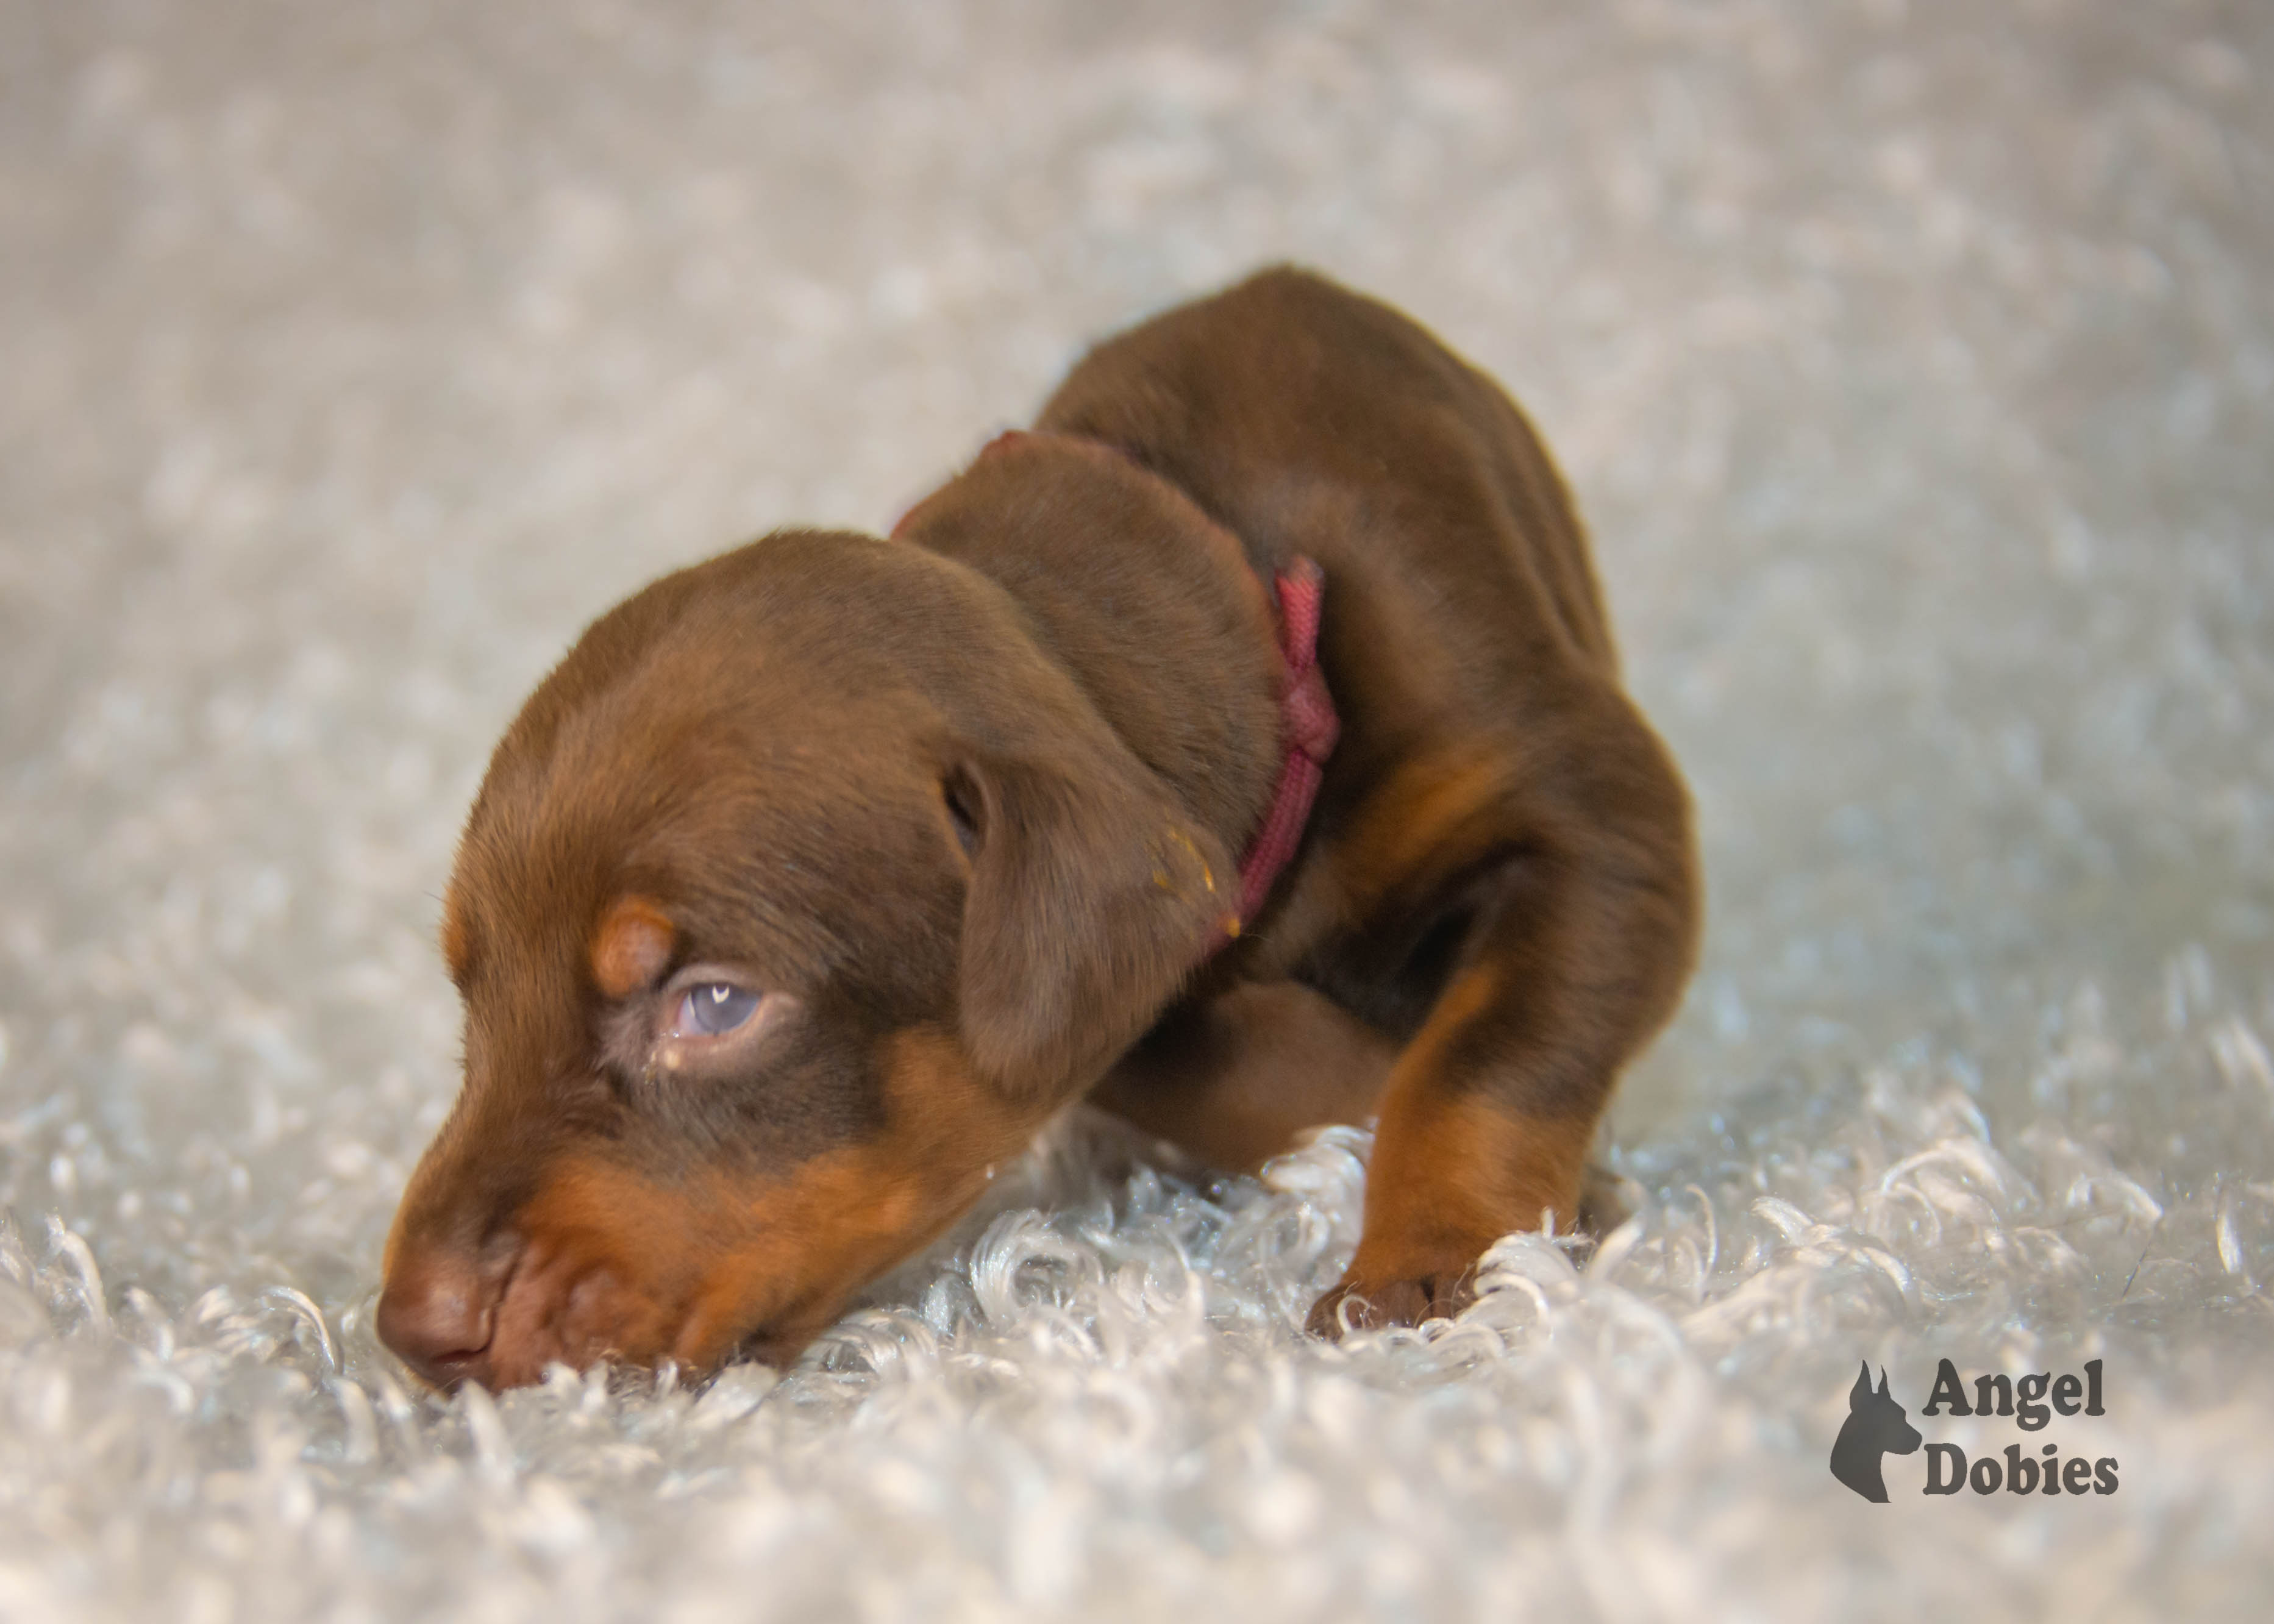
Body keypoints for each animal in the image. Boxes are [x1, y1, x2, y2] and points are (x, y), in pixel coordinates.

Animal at [377, 266, 1692, 1383]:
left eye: (714, 1003)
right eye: (472, 999)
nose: (412, 1331)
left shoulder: (1589, 815)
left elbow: (1482, 1056)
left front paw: (1432, 1267)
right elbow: (1228, 1058)